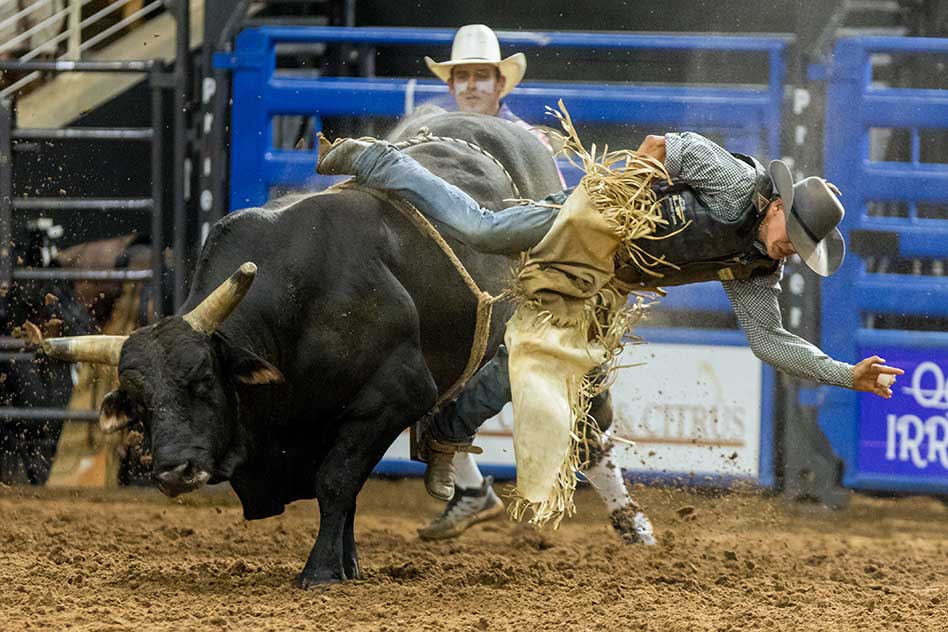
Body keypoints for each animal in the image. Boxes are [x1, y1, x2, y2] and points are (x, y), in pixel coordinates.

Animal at [42, 112, 572, 588]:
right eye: (139, 403)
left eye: (204, 380)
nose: (176, 471)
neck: (300, 300)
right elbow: (347, 491)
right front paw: (347, 564)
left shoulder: (394, 397)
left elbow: (335, 482)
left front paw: (320, 572)